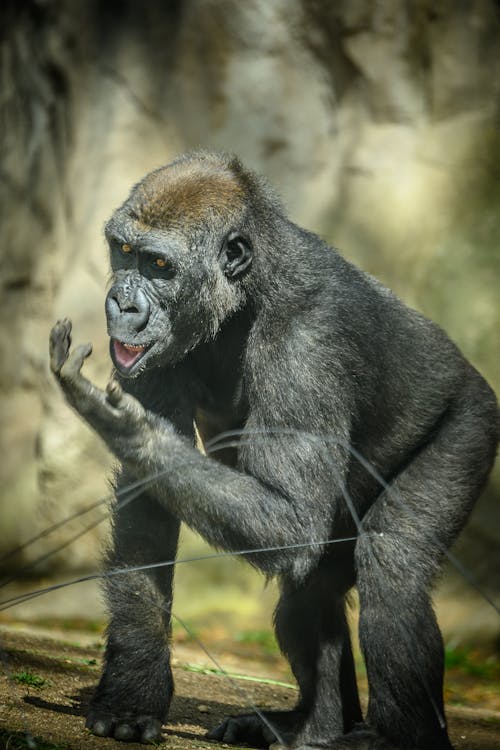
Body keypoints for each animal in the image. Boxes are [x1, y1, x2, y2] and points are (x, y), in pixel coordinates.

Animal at [48, 153, 498, 750]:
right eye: (122, 251)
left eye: (159, 265)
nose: (121, 302)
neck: (245, 291)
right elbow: (150, 512)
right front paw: (133, 686)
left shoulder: (306, 344)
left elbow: (290, 518)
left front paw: (128, 429)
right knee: (310, 593)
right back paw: (312, 725)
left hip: (470, 423)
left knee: (392, 565)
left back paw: (395, 737)